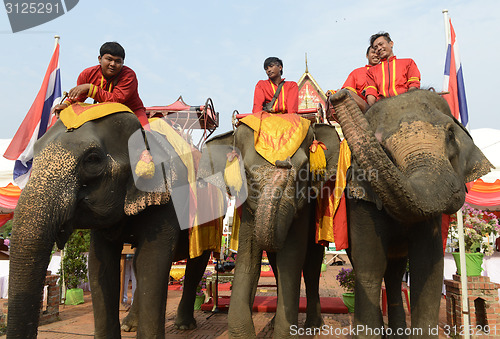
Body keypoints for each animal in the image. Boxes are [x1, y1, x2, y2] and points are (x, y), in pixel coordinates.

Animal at [6, 109, 216, 339]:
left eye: (92, 159)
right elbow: (101, 264)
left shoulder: (168, 196)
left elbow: (153, 259)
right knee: (138, 265)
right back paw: (129, 325)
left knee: (196, 264)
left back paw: (184, 325)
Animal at [197, 119, 342, 338]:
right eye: (246, 173)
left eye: (304, 169)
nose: (283, 162)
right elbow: (247, 260)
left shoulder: (303, 208)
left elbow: (291, 258)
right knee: (275, 263)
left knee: (311, 265)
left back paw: (313, 327)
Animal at [328, 89, 492, 338]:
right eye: (382, 147)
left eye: (450, 134)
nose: (337, 95)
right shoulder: (360, 199)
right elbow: (369, 267)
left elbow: (428, 268)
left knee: (395, 275)